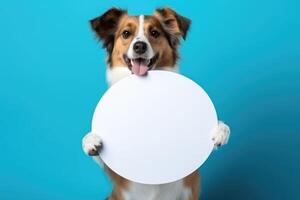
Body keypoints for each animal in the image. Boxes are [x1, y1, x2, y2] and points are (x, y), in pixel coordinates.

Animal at [82, 7, 230, 200]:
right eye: (126, 33)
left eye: (154, 33)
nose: (139, 46)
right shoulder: (116, 173)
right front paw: (90, 140)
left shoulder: (192, 176)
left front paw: (221, 129)